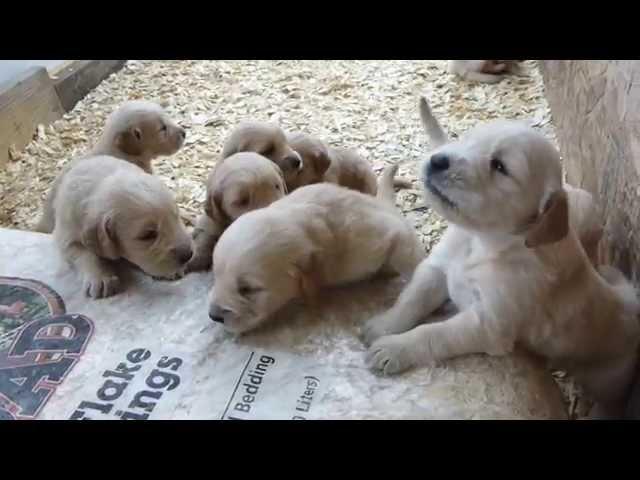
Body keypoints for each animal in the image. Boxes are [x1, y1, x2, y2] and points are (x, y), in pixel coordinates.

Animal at [53, 156, 194, 298]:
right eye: (148, 235)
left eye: (175, 217)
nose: (189, 255)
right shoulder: (67, 235)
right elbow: (85, 254)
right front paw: (101, 278)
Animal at [362, 99, 640, 418]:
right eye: (468, 139)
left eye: (499, 166)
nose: (437, 160)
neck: (482, 242)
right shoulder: (437, 270)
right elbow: (411, 300)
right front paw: (382, 325)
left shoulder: (488, 325)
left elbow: (434, 333)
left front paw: (394, 348)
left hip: (608, 380)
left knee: (610, 401)